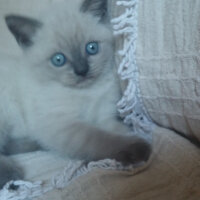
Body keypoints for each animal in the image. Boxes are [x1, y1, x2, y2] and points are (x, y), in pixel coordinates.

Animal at [0, 0, 151, 188]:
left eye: (92, 48)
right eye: (58, 60)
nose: (82, 71)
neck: (88, 92)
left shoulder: (103, 116)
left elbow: (115, 130)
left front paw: (133, 133)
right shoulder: (62, 125)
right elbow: (99, 139)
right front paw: (137, 148)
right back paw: (10, 174)